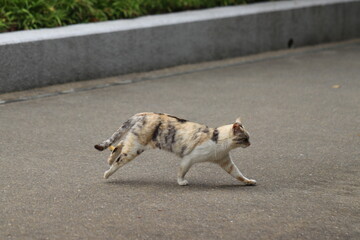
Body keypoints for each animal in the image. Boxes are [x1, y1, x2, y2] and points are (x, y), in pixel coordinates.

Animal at [93, 111, 256, 187]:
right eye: (245, 138)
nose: (250, 144)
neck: (218, 139)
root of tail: (144, 113)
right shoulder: (189, 158)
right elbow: (182, 171)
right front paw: (181, 182)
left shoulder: (225, 161)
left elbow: (238, 174)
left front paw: (249, 181)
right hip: (135, 148)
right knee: (119, 159)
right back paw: (107, 173)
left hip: (135, 142)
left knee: (119, 144)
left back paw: (110, 159)